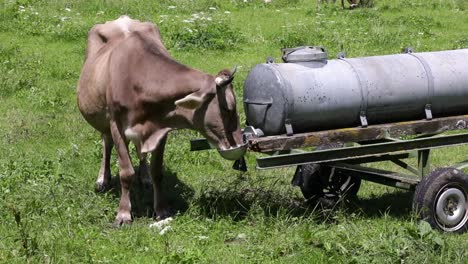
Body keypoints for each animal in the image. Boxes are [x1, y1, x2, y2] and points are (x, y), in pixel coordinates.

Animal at [77, 15, 245, 226]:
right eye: (227, 108)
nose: (239, 143)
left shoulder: (161, 128)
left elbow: (158, 171)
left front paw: (162, 209)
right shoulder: (116, 124)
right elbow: (126, 172)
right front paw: (123, 214)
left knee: (140, 152)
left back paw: (145, 177)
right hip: (103, 119)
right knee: (106, 144)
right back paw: (103, 179)